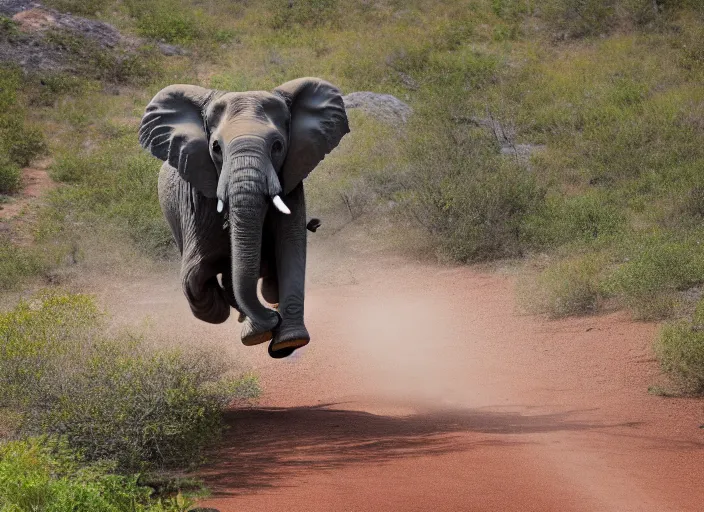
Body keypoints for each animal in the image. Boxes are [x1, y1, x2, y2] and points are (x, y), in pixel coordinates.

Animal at [138, 77, 350, 356]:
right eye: (216, 148)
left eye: (277, 146)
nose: (273, 318)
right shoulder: (196, 200)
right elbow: (197, 275)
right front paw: (259, 329)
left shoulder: (291, 181)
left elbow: (290, 247)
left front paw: (289, 341)